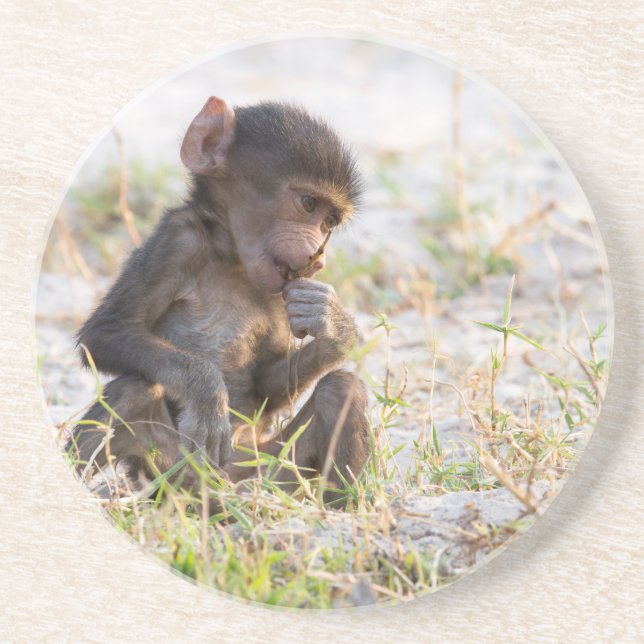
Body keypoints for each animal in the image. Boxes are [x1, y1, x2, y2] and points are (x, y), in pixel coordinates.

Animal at [67, 96, 370, 503]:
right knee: (132, 390)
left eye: (330, 222)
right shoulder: (178, 239)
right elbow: (104, 333)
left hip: (275, 469)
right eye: (308, 204)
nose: (317, 259)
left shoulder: (278, 291)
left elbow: (266, 383)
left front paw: (333, 324)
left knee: (341, 389)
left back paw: (339, 506)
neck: (231, 259)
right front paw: (208, 395)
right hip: (172, 473)